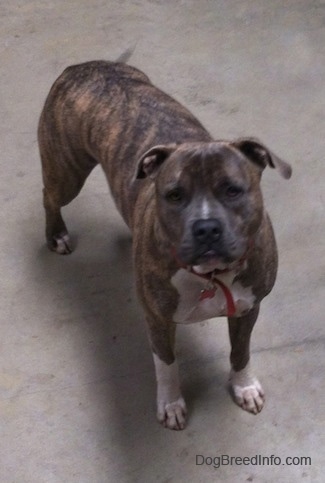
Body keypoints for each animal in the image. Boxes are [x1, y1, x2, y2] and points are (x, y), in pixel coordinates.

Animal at [38, 61, 292, 432]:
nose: (206, 228)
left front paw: (244, 387)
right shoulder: (157, 319)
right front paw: (171, 404)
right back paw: (56, 234)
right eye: (174, 195)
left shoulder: (249, 307)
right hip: (66, 172)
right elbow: (167, 364)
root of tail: (82, 66)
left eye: (233, 190)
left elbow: (240, 352)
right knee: (49, 196)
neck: (211, 276)